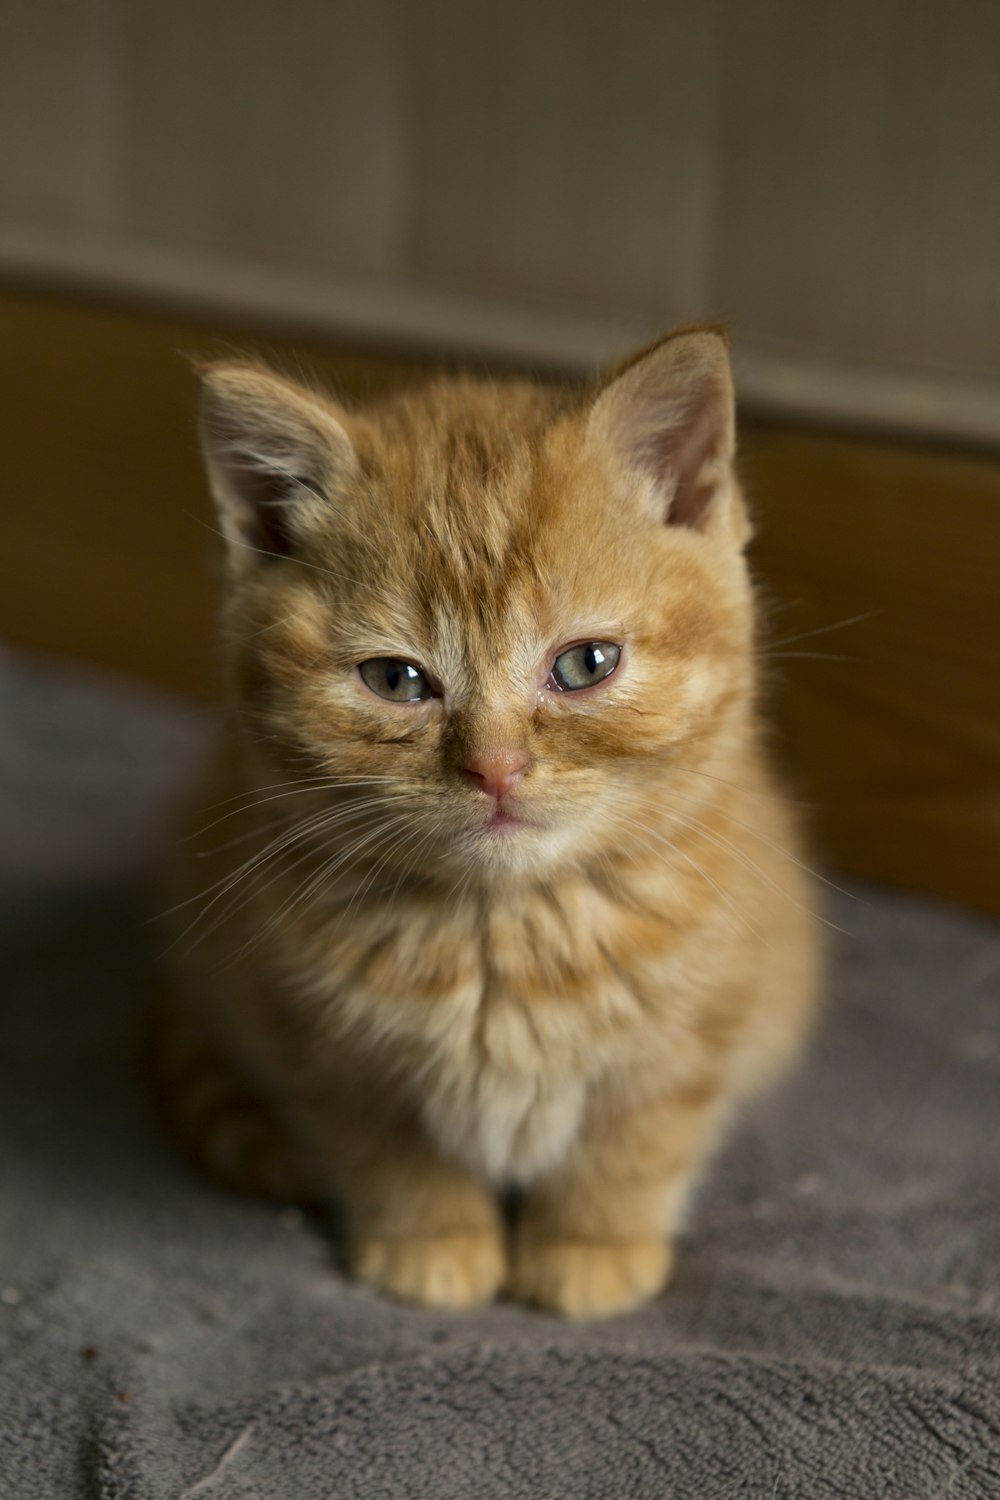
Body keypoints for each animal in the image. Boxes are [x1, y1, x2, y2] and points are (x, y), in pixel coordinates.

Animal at [152, 334, 815, 1320]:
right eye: (396, 680)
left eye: (586, 664)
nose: (495, 767)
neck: (504, 929)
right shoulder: (323, 1052)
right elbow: (392, 1156)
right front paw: (433, 1246)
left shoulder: (696, 1036)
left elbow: (634, 1146)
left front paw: (589, 1249)